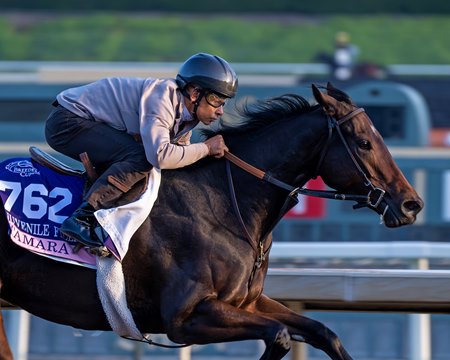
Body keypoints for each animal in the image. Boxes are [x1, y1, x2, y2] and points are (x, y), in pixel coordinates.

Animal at [0, 83, 422, 358]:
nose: (411, 204)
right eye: (364, 143)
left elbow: (322, 332)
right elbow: (280, 336)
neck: (224, 204)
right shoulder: (186, 317)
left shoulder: (247, 302)